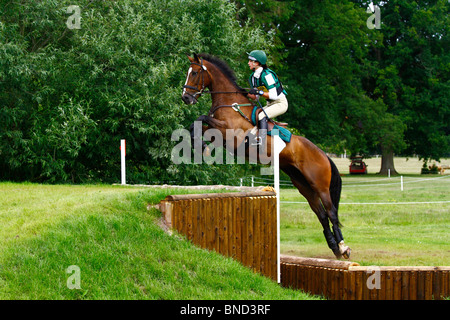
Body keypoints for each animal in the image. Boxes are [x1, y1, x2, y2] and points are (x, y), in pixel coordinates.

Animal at [181, 52, 350, 258]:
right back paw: (335, 248)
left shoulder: (230, 134)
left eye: (195, 73)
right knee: (321, 214)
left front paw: (203, 147)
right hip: (303, 184)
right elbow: (196, 125)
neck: (230, 103)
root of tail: (323, 154)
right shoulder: (218, 132)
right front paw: (201, 147)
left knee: (331, 212)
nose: (186, 98)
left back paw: (343, 247)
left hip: (320, 184)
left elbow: (201, 118)